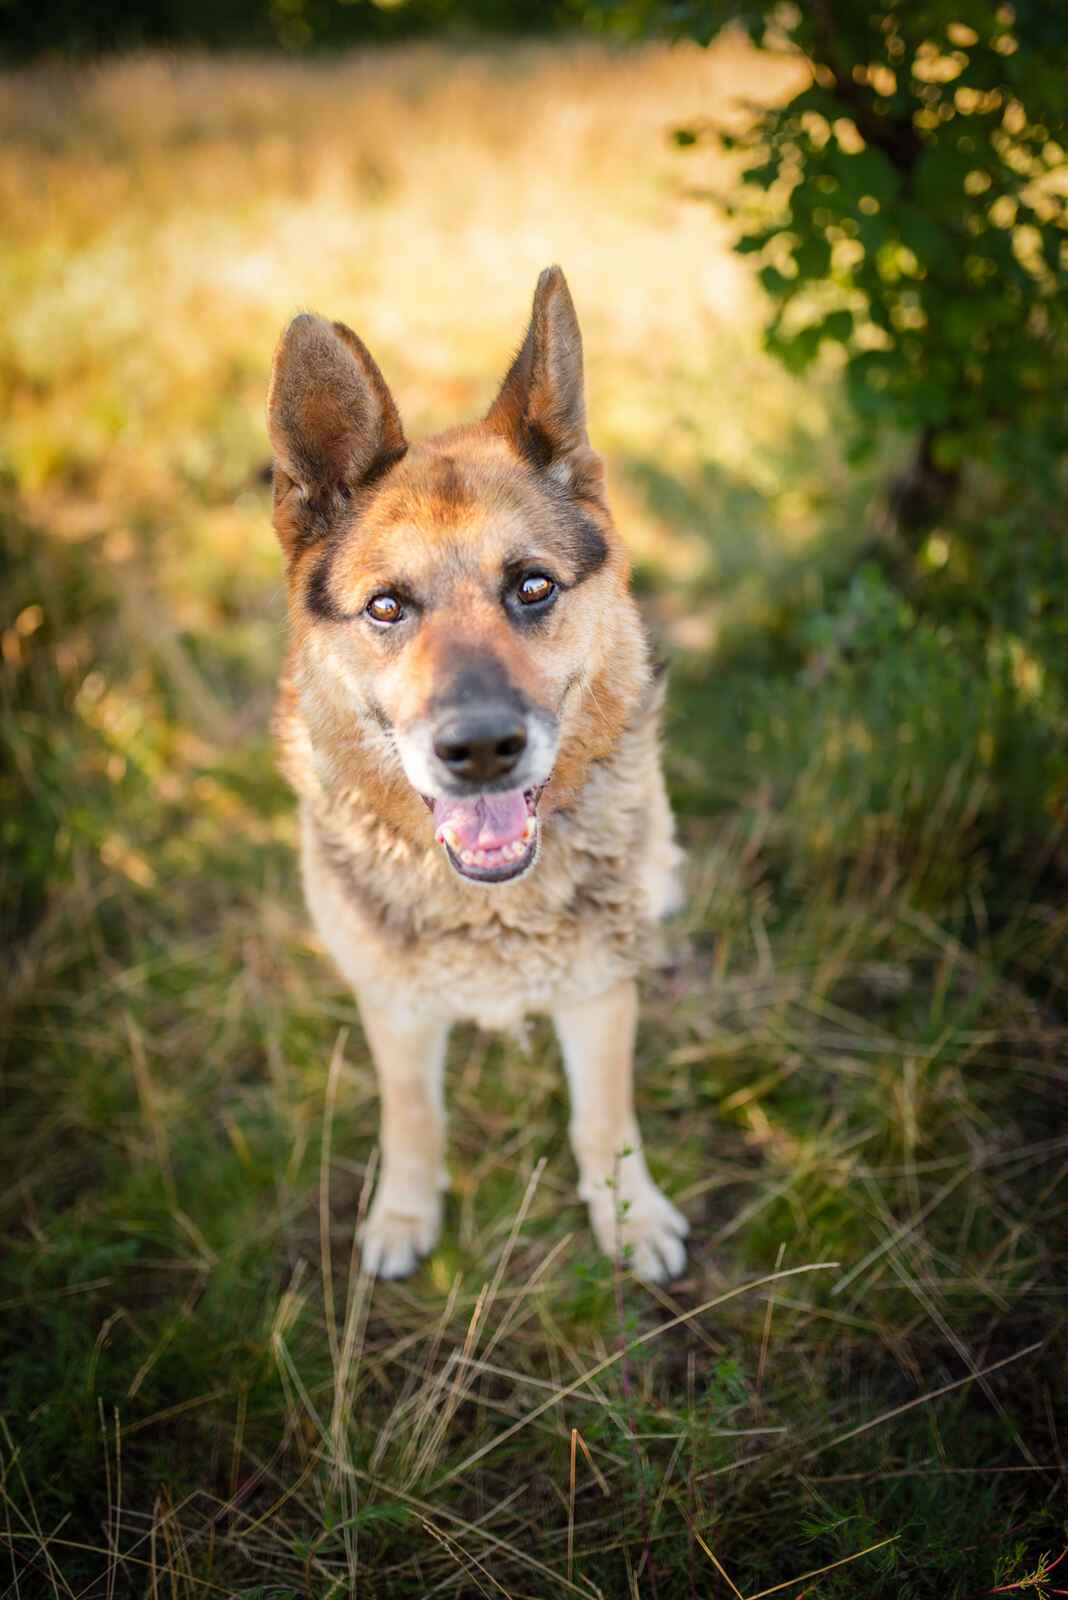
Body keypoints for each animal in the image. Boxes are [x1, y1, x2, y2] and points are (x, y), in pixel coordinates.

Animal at [262, 268, 687, 1280]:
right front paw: (405, 1214)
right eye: (386, 607)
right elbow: (413, 1117)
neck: (488, 905)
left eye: (532, 587)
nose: (483, 749)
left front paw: (629, 1217)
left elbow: (603, 1119)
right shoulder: (395, 1006)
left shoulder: (597, 993)